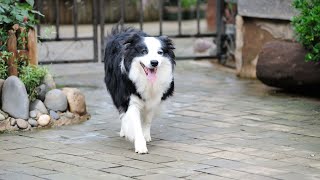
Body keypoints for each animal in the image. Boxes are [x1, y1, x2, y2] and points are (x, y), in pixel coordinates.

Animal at [104, 25, 175, 153]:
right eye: (144, 52)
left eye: (160, 52)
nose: (154, 62)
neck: (146, 80)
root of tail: (123, 31)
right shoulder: (130, 99)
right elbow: (135, 123)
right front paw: (140, 145)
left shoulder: (154, 100)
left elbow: (147, 120)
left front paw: (145, 136)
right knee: (121, 112)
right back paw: (124, 131)